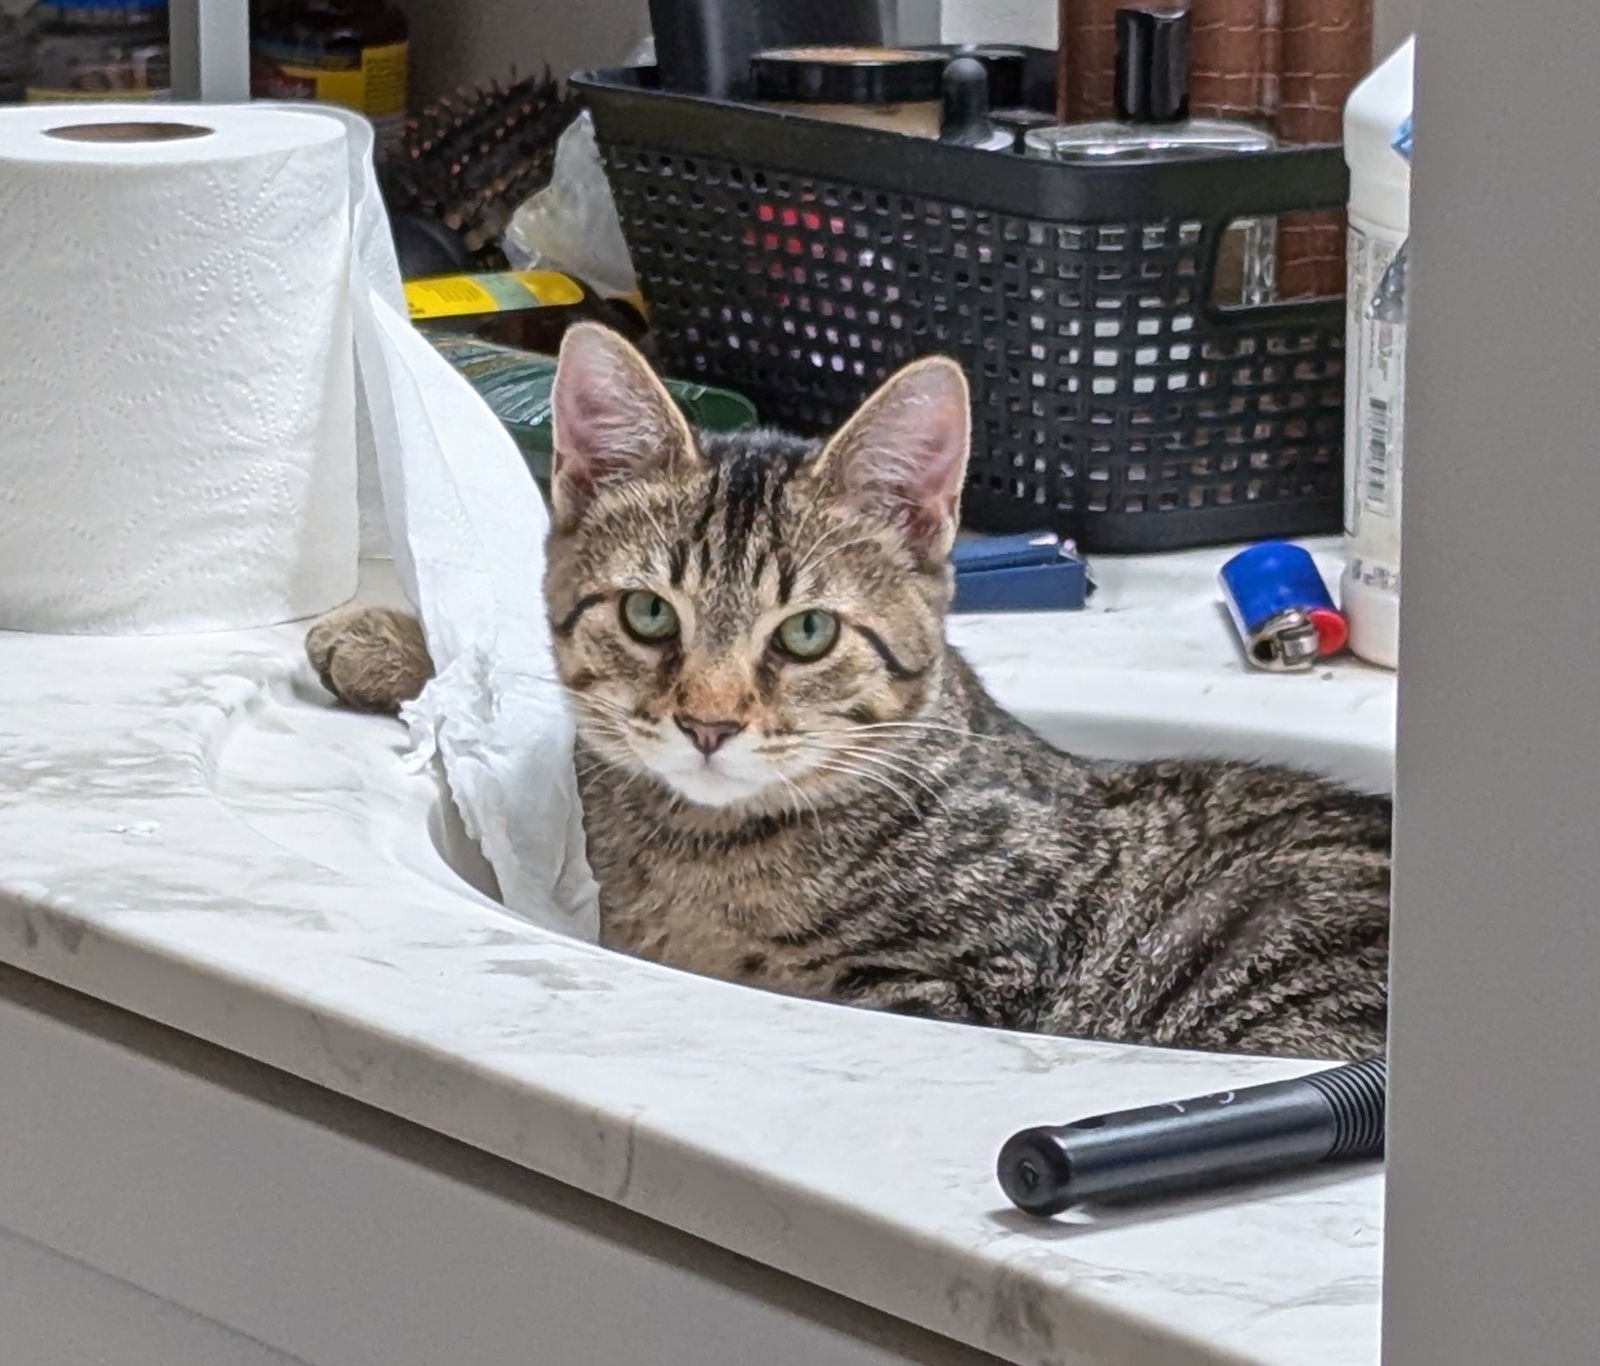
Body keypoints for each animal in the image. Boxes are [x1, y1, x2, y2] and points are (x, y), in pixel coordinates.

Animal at [312, 326, 1388, 1062]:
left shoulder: (955, 985)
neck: (699, 847)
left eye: (807, 632)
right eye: (650, 614)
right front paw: (387, 640)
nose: (707, 723)